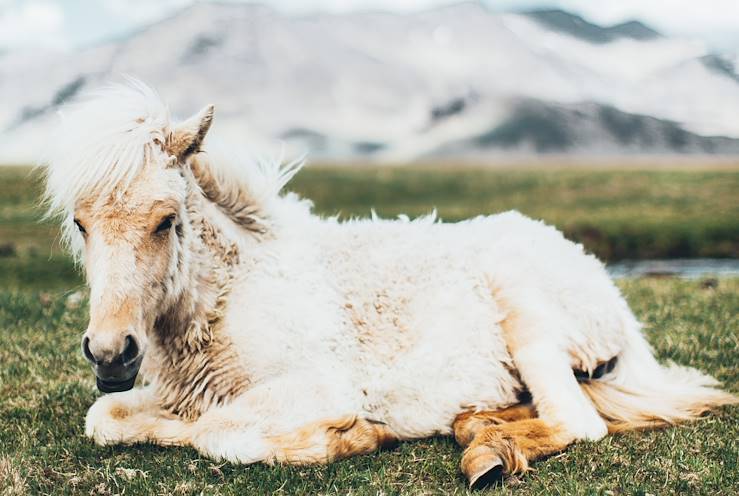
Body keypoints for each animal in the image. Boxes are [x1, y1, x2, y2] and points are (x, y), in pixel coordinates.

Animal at [44, 81, 736, 488]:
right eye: (80, 223)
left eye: (166, 220)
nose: (110, 352)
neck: (232, 295)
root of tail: (603, 285)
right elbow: (105, 416)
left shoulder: (313, 385)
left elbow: (222, 434)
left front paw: (352, 435)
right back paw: (477, 428)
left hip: (527, 316)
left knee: (577, 420)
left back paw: (484, 450)